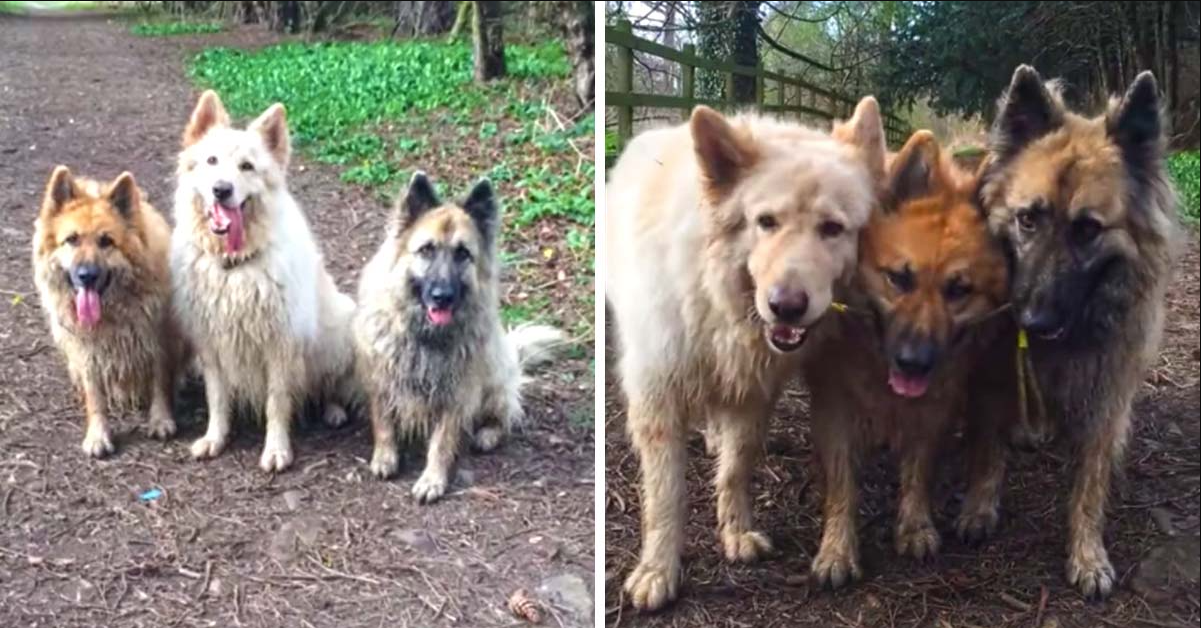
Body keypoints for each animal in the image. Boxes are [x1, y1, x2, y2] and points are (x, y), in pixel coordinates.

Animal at [605, 100, 888, 612]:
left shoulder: (753, 393)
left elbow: (738, 467)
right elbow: (665, 495)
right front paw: (658, 571)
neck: (718, 299)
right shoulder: (659, 397)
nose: (786, 305)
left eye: (833, 229)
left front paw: (735, 532)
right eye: (766, 222)